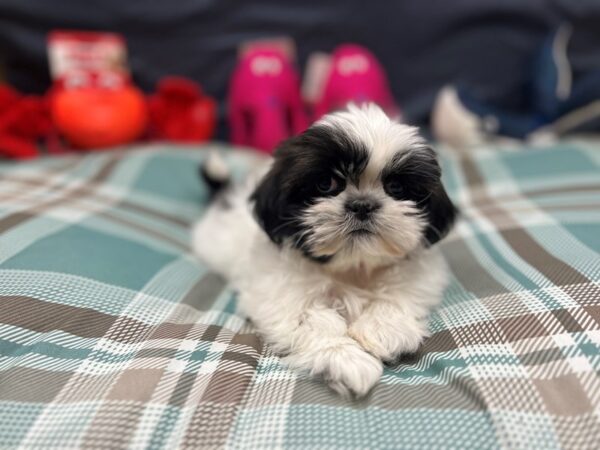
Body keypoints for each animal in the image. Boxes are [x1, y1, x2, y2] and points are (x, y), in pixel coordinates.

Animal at [192, 103, 454, 398]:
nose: (362, 204)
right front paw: (345, 359)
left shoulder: (419, 277)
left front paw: (382, 330)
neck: (352, 265)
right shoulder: (277, 291)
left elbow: (398, 295)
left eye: (395, 187)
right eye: (326, 184)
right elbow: (310, 318)